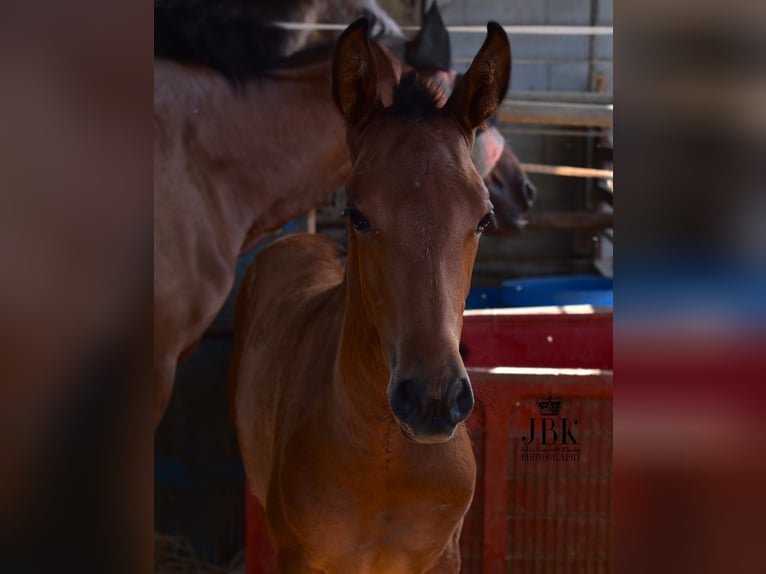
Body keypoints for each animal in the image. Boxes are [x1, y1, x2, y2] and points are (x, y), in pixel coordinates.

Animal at [229, 18, 510, 573]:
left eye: (484, 218)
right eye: (357, 214)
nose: (432, 400)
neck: (383, 457)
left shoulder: (443, 557)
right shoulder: (299, 555)